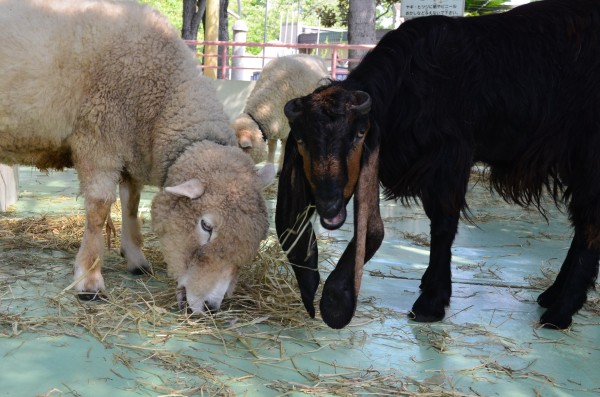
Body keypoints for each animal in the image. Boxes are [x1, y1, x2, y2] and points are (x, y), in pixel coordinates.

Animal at [0, 0, 274, 312]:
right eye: (206, 226)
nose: (210, 306)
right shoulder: (98, 139)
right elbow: (99, 210)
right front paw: (89, 279)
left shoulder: (129, 153)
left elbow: (130, 204)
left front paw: (135, 259)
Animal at [276, 0, 600, 328]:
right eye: (301, 139)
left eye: (359, 134)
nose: (329, 206)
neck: (409, 83)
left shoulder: (450, 155)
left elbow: (442, 224)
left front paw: (431, 302)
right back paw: (552, 295)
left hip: (590, 154)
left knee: (590, 225)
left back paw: (560, 310)